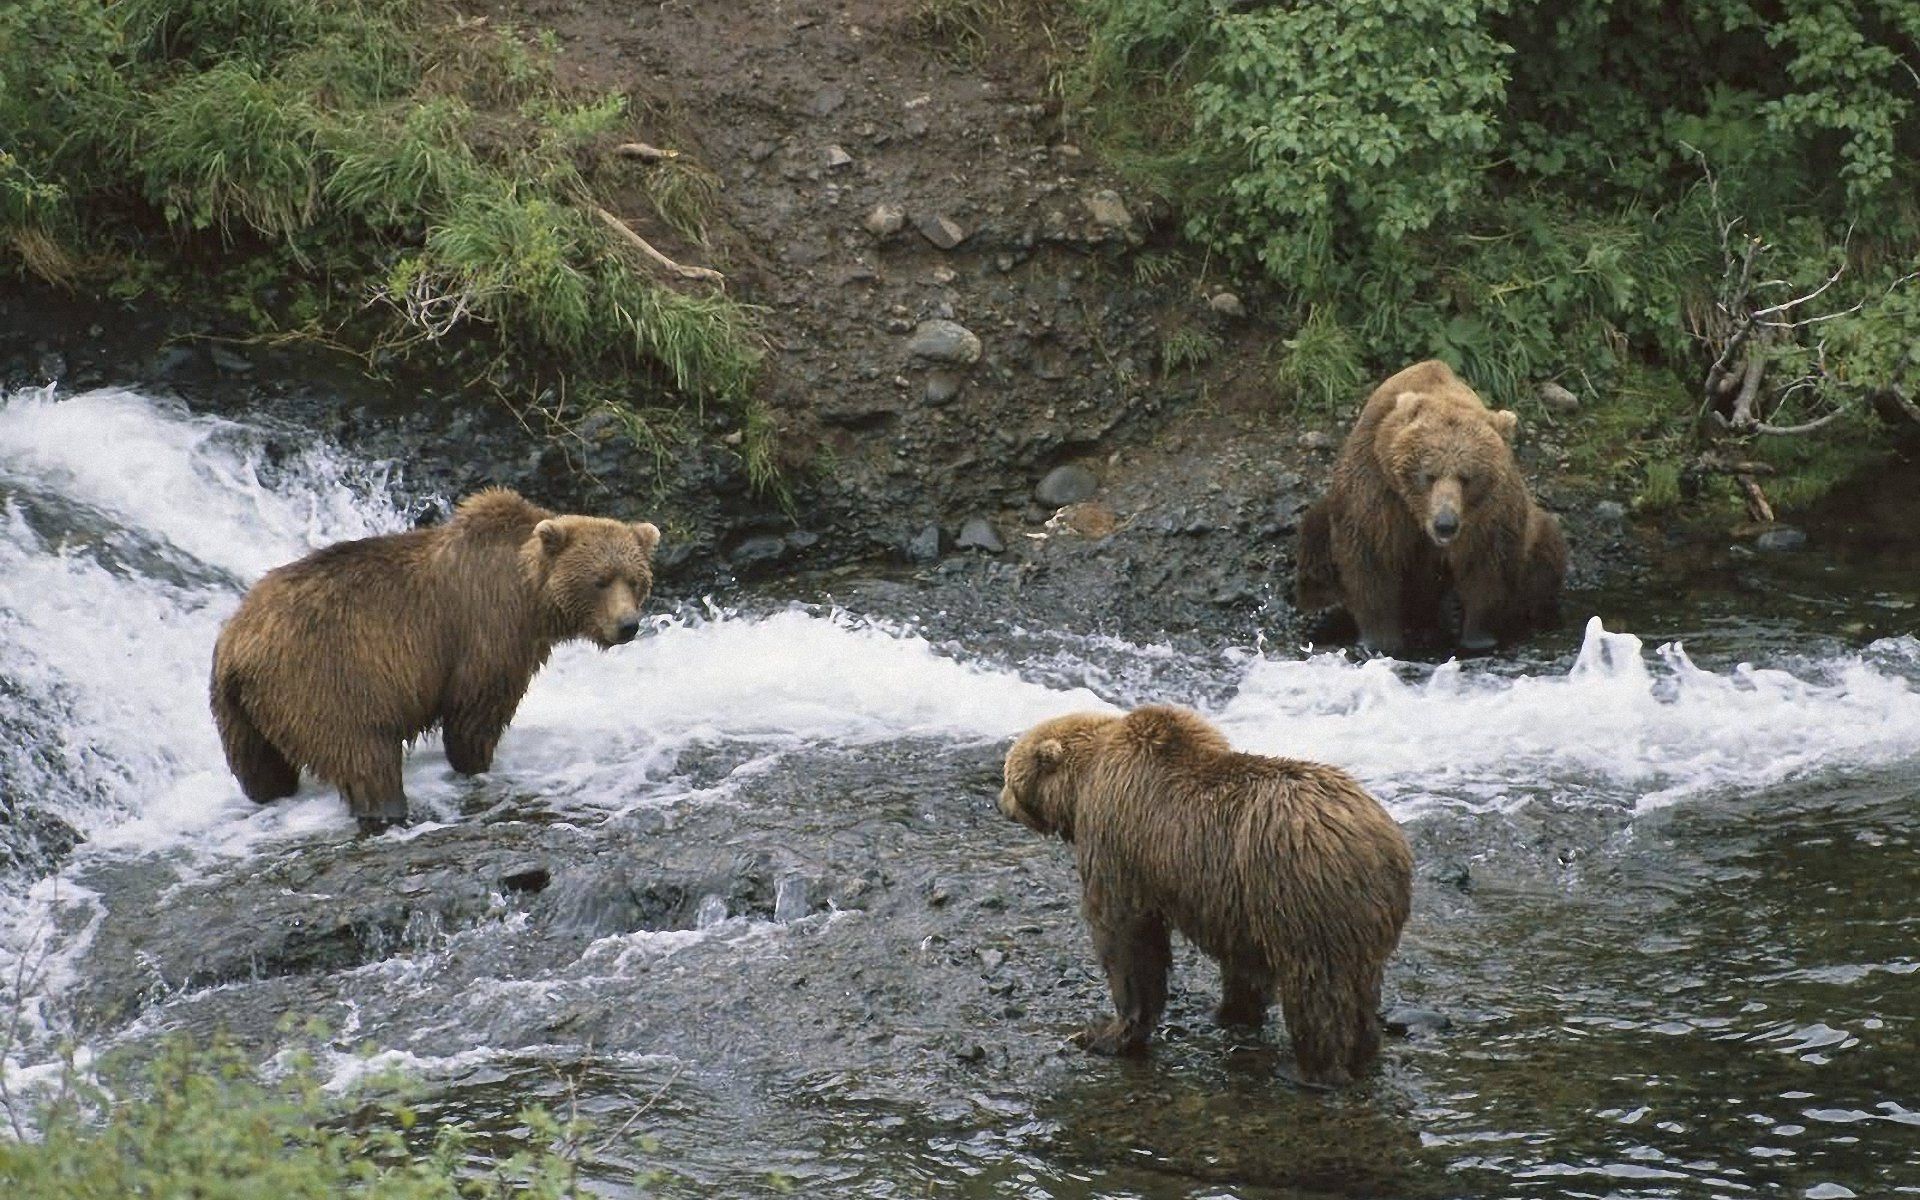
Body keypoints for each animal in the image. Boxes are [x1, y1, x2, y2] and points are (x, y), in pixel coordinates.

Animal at [210, 487, 660, 834]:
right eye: (600, 580)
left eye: (635, 579)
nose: (627, 625)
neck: (530, 594)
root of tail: (238, 644)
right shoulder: (487, 629)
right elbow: (475, 711)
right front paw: (476, 764)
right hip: (323, 679)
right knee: (365, 756)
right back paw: (387, 810)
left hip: (239, 713)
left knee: (261, 770)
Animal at [999, 704, 1413, 1087]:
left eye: (1008, 775)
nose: (1001, 803)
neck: (1084, 784)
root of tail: (1381, 842)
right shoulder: (1237, 898)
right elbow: (1244, 961)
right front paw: (1232, 1011)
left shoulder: (1118, 844)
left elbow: (1127, 938)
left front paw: (1107, 1032)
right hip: (1358, 914)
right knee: (1361, 985)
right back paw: (1363, 1052)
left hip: (1301, 894)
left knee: (1317, 990)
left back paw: (1310, 1069)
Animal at [1295, 359, 1567, 656]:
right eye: (1429, 475)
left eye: (1466, 477)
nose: (1445, 524)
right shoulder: (1378, 490)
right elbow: (1372, 558)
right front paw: (1380, 640)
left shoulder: (1489, 511)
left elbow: (1487, 563)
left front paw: (1478, 637)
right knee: (1315, 536)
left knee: (1544, 556)